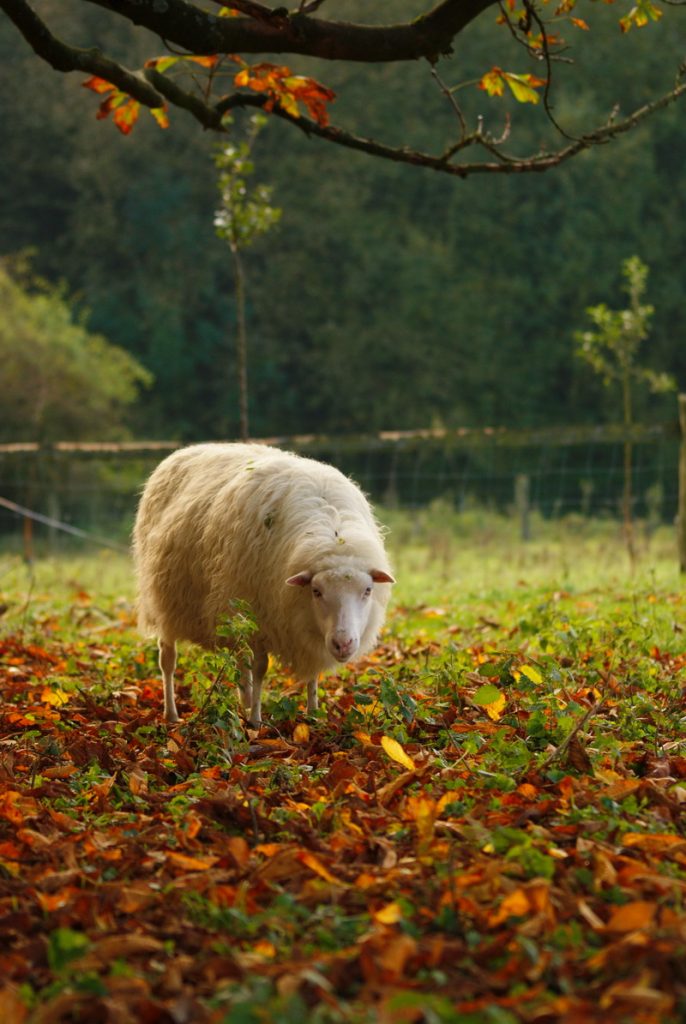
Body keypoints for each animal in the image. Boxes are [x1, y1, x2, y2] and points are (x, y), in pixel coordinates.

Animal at [132, 442, 395, 726]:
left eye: (367, 590)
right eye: (316, 591)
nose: (343, 644)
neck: (333, 533)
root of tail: (187, 450)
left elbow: (312, 673)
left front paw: (312, 714)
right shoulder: (259, 615)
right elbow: (260, 669)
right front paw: (256, 721)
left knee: (239, 659)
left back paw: (245, 699)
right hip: (166, 599)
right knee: (168, 660)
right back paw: (172, 713)